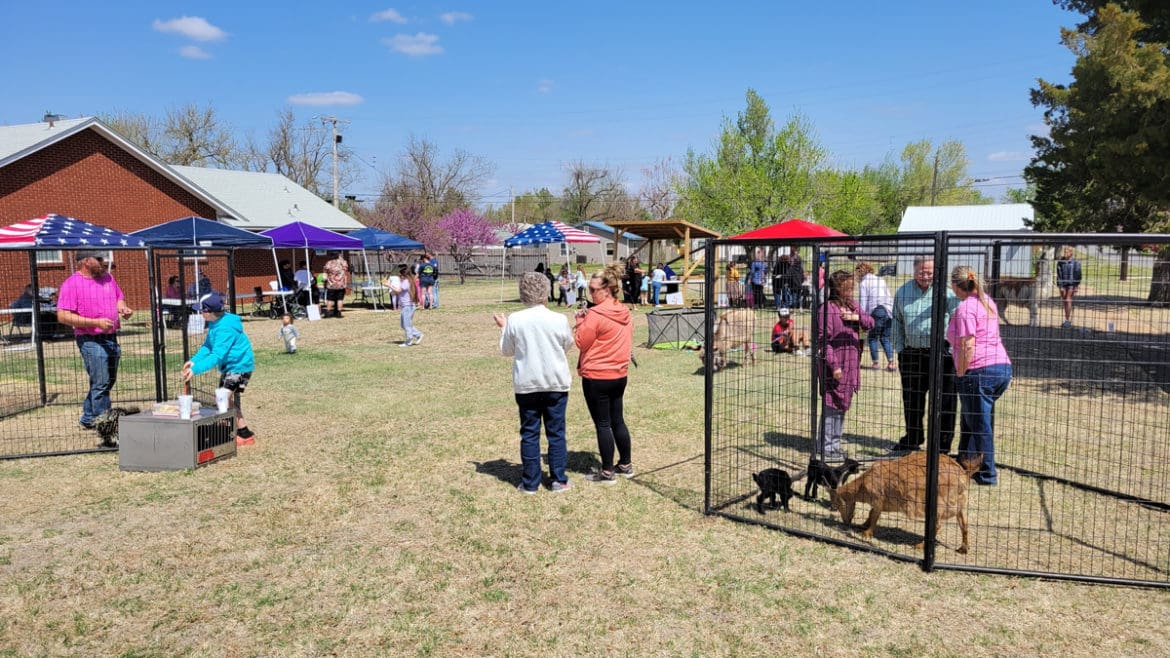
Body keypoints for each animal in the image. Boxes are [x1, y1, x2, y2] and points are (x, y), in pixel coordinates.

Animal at [828, 447, 982, 550]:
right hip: (958, 503)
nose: (845, 522)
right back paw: (963, 549)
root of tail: (963, 474)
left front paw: (866, 533)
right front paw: (863, 525)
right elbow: (871, 513)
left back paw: (919, 545)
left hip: (938, 505)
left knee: (937, 525)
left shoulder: (878, 499)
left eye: (836, 502)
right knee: (963, 524)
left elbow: (874, 515)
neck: (865, 482)